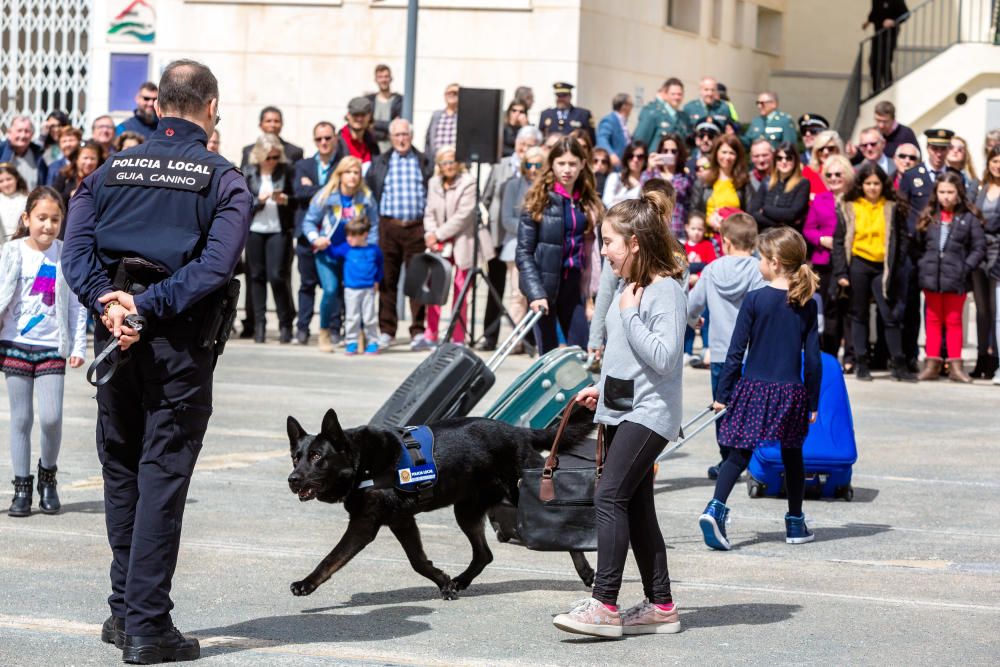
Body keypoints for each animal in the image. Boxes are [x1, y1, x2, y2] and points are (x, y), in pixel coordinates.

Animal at [286, 408, 592, 600]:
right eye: (295, 457)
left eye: (317, 457)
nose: (292, 479)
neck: (361, 462)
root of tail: (520, 432)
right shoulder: (401, 521)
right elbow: (418, 561)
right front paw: (444, 582)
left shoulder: (365, 525)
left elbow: (332, 557)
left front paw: (307, 583)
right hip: (466, 511)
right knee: (484, 555)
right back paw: (462, 580)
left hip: (520, 499)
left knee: (563, 533)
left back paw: (587, 572)